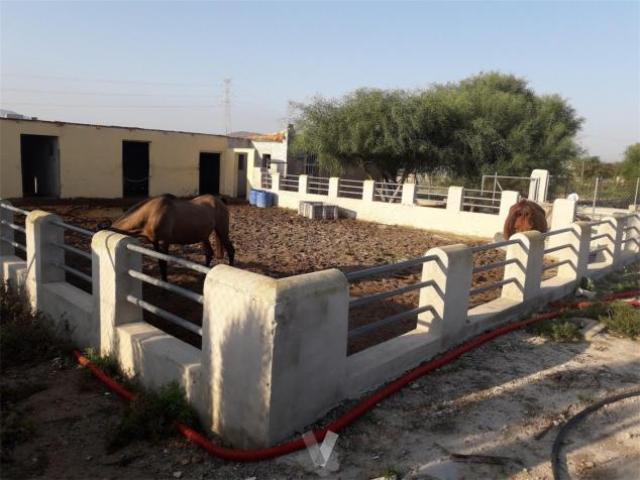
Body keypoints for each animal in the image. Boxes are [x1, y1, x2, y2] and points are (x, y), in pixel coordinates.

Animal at [104, 193, 234, 280]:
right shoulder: (155, 242)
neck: (152, 213)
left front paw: (164, 283)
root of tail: (219, 200)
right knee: (209, 253)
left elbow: (163, 262)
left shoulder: (164, 241)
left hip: (222, 232)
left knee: (230, 250)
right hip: (204, 236)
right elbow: (159, 261)